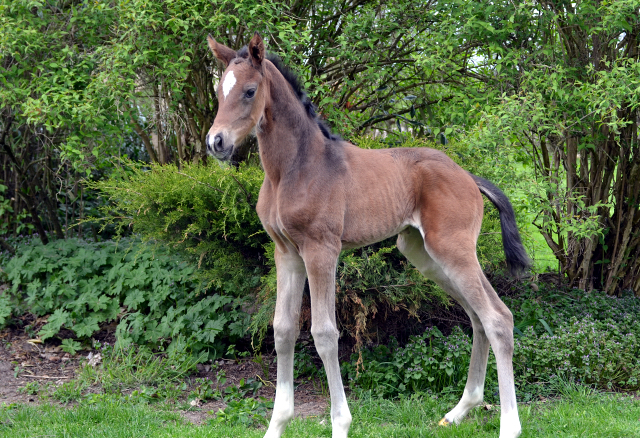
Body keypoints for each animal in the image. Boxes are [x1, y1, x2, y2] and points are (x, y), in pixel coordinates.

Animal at [208, 31, 528, 438]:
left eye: (250, 91)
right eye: (220, 90)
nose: (215, 142)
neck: (292, 169)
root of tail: (468, 176)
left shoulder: (321, 250)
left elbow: (324, 334)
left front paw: (340, 424)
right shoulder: (287, 253)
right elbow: (282, 330)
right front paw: (276, 425)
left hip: (453, 249)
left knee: (498, 318)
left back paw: (509, 425)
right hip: (424, 254)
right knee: (477, 318)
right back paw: (460, 411)